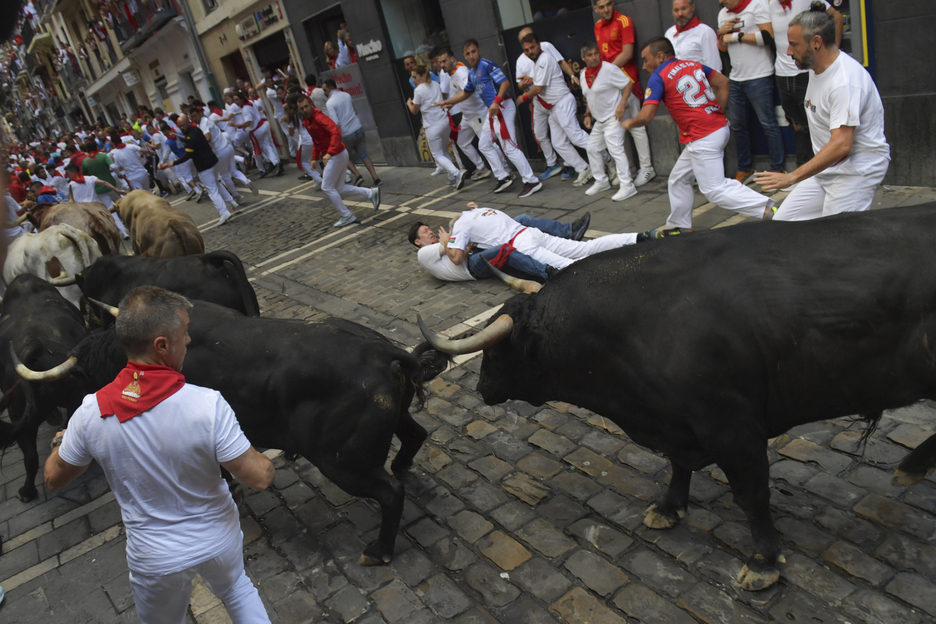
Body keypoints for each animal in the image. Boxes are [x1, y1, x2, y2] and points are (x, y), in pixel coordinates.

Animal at [33, 300, 446, 564]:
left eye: (86, 374)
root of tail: (384, 352)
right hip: (391, 425)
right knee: (415, 437)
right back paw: (401, 468)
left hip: (344, 463)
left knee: (390, 493)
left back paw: (379, 551)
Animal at [420, 207, 936, 592]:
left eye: (496, 350)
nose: (482, 388)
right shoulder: (678, 420)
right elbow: (679, 465)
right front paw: (668, 509)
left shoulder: (732, 427)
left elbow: (752, 494)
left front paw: (764, 561)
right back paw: (911, 468)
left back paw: (910, 469)